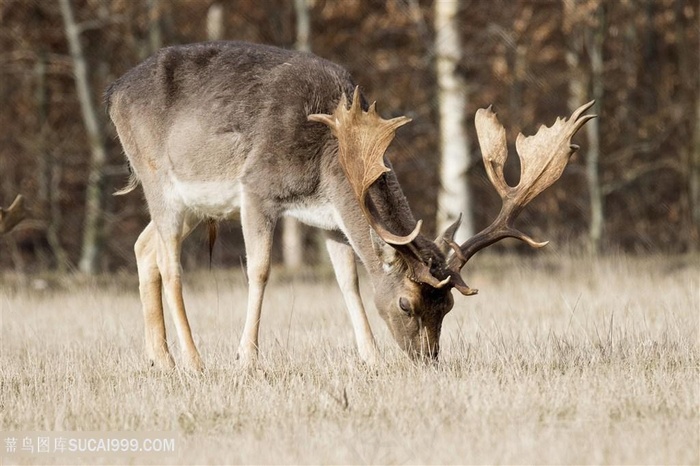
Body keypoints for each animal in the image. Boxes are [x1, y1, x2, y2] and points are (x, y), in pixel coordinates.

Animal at [106, 41, 592, 370]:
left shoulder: (329, 218)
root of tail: (112, 91)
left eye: (449, 307)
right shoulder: (256, 187)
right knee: (171, 264)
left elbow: (348, 282)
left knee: (144, 247)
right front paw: (247, 358)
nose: (427, 360)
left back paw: (160, 359)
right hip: (158, 177)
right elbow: (259, 270)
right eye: (405, 305)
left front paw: (371, 359)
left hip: (194, 204)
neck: (327, 158)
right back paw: (194, 359)